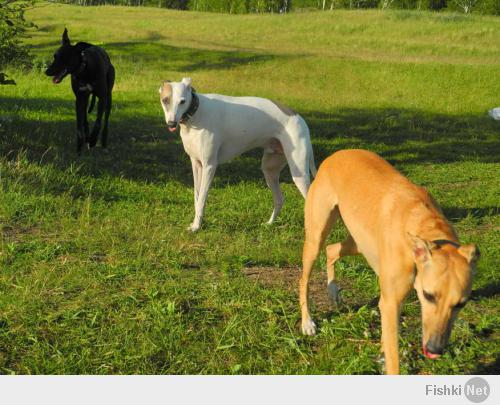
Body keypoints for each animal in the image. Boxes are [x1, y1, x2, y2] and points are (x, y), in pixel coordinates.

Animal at [160, 77, 316, 232]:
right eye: (165, 100)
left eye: (182, 101)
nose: (171, 123)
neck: (197, 113)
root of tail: (298, 117)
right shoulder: (196, 164)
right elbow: (196, 198)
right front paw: (195, 224)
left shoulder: (209, 166)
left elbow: (202, 200)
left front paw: (197, 227)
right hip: (269, 169)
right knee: (279, 199)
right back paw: (270, 223)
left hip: (299, 173)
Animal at [298, 150, 478, 374]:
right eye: (428, 295)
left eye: (461, 304)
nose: (434, 349)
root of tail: (334, 156)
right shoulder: (391, 303)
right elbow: (394, 362)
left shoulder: (392, 301)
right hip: (316, 237)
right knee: (304, 278)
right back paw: (307, 323)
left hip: (357, 243)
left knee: (331, 249)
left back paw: (333, 290)